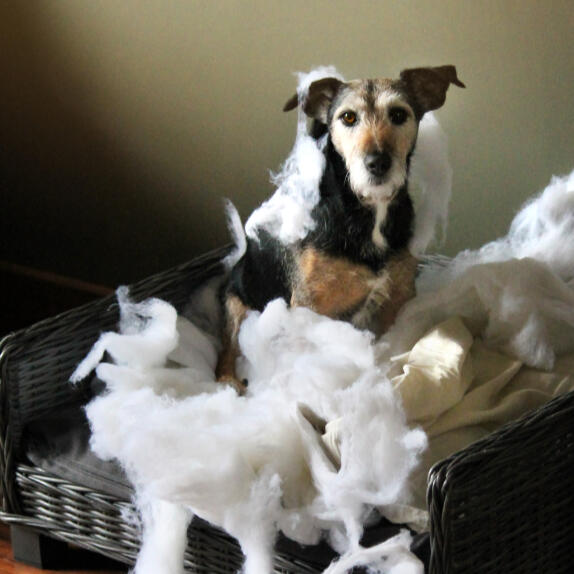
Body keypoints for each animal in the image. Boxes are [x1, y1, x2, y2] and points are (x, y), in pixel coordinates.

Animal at [218, 65, 466, 394]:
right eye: (348, 117)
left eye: (399, 114)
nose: (377, 163)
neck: (367, 213)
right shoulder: (309, 307)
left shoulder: (398, 297)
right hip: (237, 304)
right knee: (225, 351)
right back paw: (229, 381)